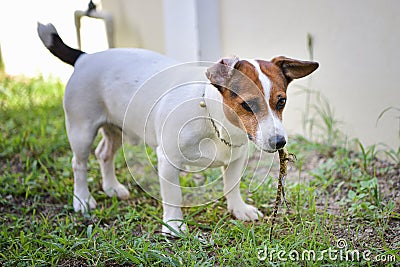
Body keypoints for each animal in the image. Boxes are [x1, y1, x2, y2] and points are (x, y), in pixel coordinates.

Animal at [37, 23, 318, 237]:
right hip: (81, 130)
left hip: (117, 127)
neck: (214, 120)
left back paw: (111, 187)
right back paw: (82, 199)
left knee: (104, 153)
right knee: (79, 163)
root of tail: (84, 57)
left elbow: (232, 186)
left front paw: (238, 208)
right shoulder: (168, 161)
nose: (279, 142)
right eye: (247, 105)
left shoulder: (236, 159)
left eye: (281, 102)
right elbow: (173, 195)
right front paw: (174, 225)